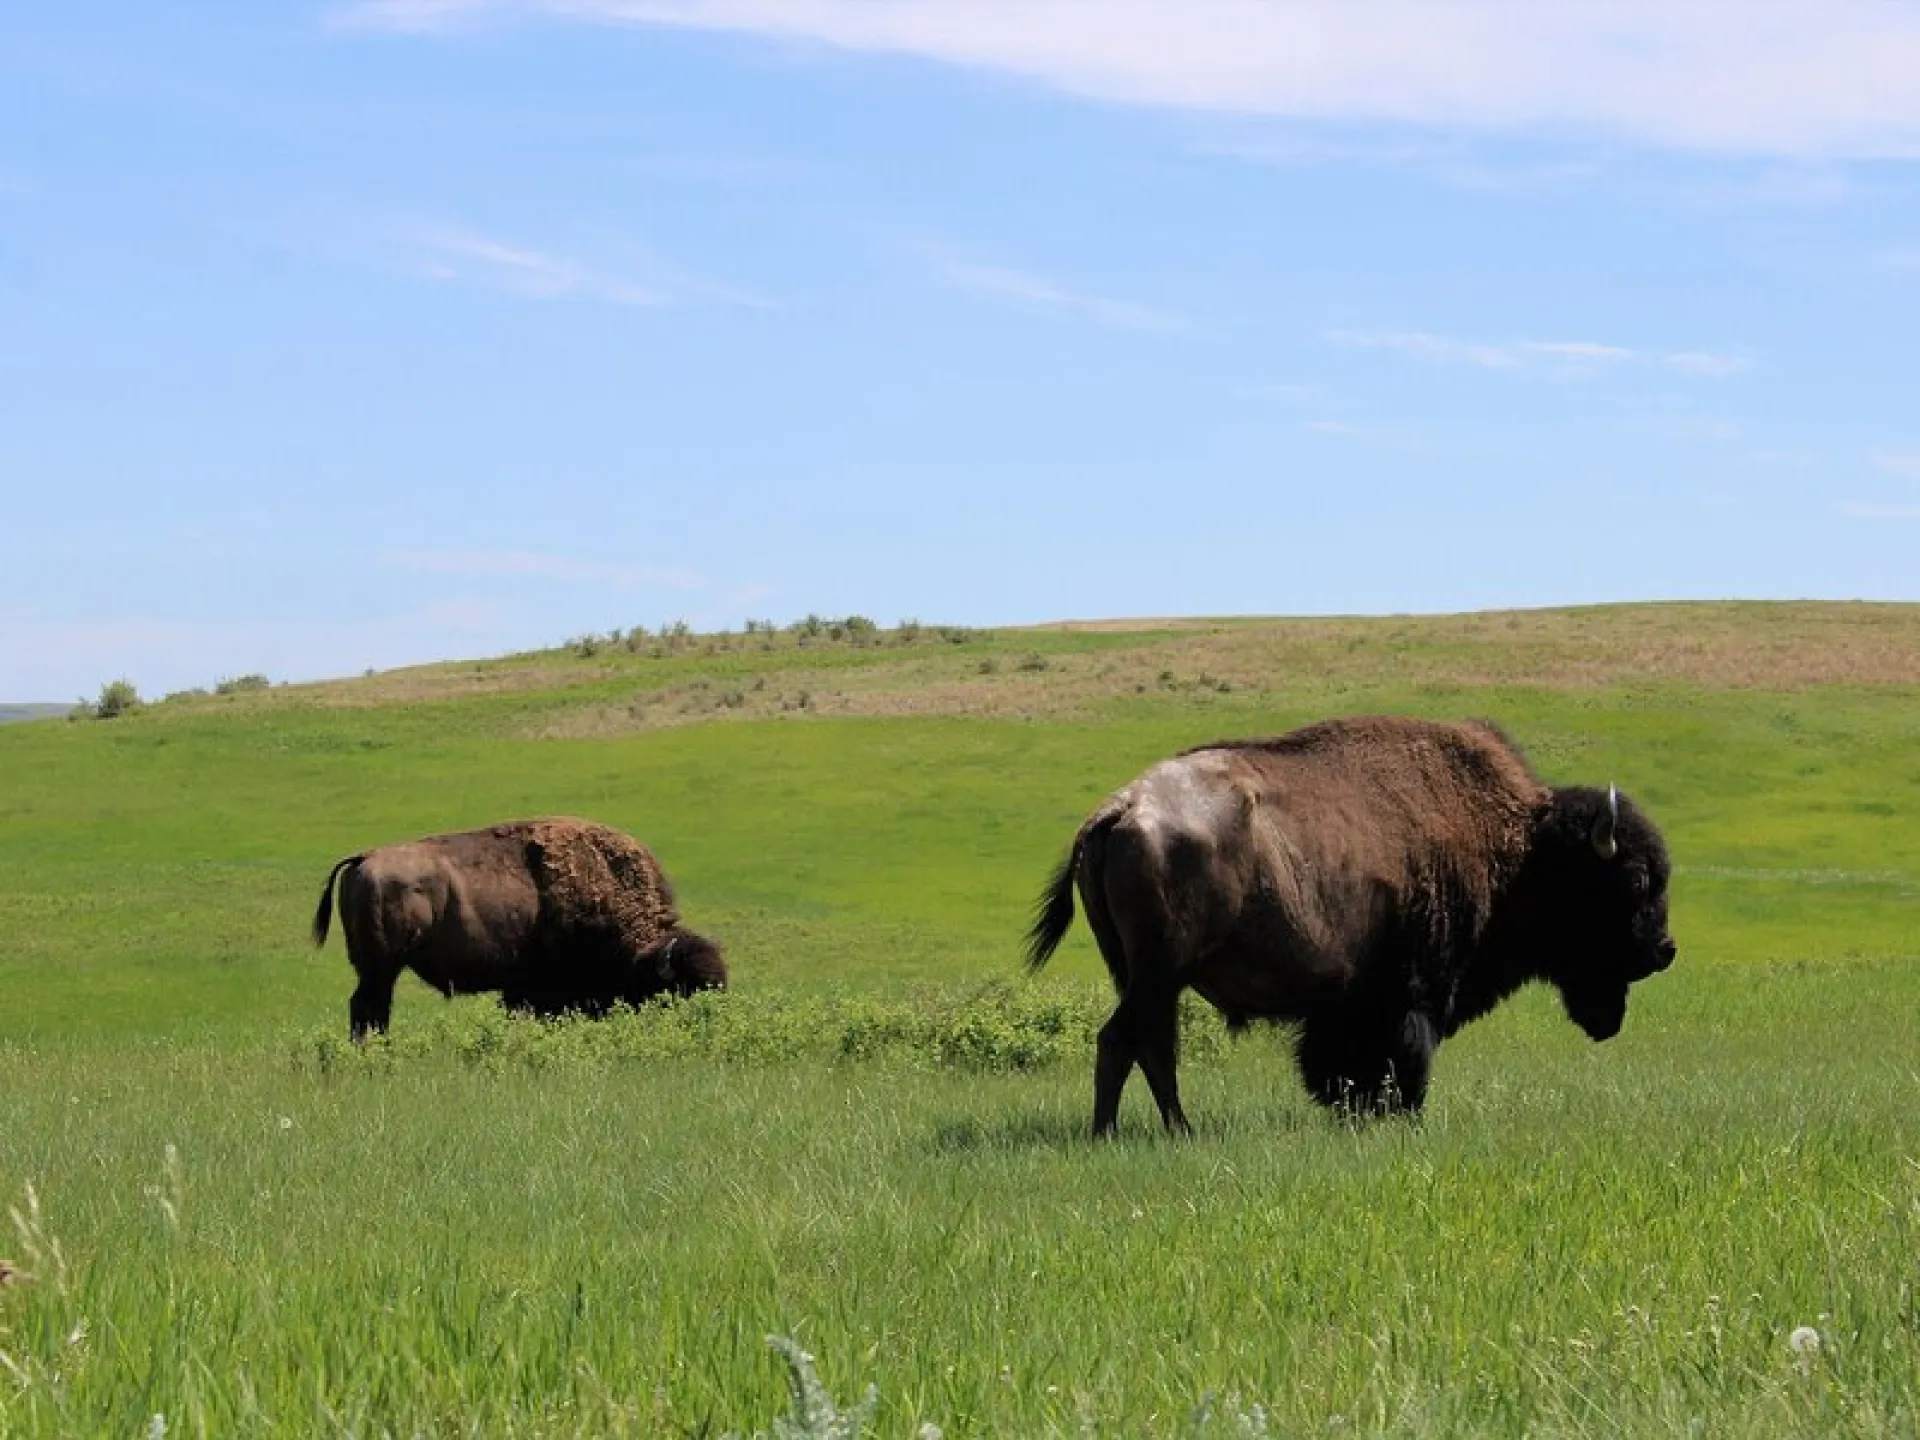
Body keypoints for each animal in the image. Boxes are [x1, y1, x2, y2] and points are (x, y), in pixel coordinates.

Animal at [312, 817, 725, 1039]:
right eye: (683, 989)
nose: (710, 1023)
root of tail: (364, 858)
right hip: (381, 967)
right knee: (370, 1008)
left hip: (376, 968)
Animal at [1026, 716, 1676, 1135]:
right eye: (1635, 880)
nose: (1663, 951)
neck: (1517, 845)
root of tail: (1120, 810)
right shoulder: (1413, 992)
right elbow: (1403, 1054)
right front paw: (1399, 1115)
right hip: (1159, 972)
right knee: (1122, 1042)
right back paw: (1111, 1134)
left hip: (1147, 976)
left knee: (1152, 1046)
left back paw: (1176, 1130)